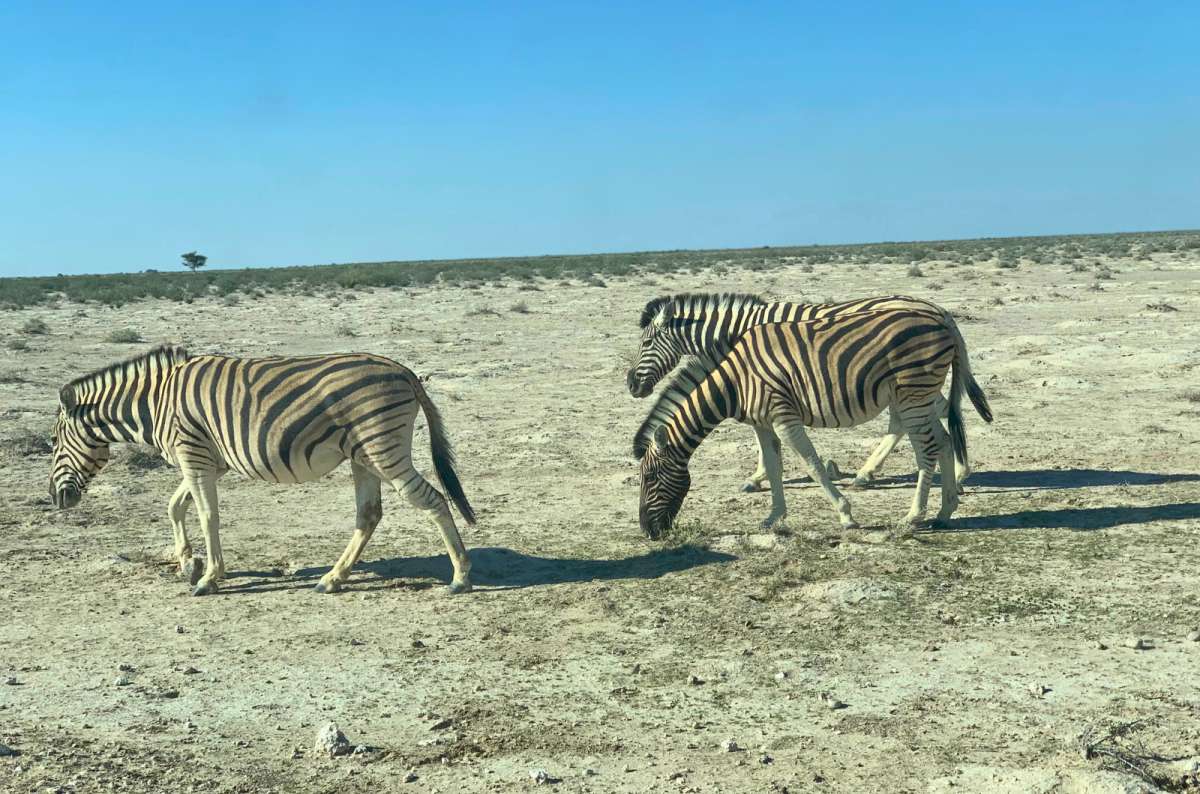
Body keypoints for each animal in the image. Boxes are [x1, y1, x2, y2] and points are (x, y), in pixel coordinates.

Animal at [49, 345, 476, 596]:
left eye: (52, 442)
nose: (55, 499)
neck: (155, 403)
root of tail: (404, 370)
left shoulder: (194, 454)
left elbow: (207, 515)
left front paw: (208, 577)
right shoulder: (209, 460)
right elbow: (176, 506)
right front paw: (188, 563)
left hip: (382, 448)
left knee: (432, 499)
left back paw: (460, 576)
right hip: (363, 456)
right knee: (369, 514)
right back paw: (332, 579)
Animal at [633, 308, 993, 537]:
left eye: (650, 477)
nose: (649, 532)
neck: (736, 381)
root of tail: (942, 320)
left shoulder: (783, 416)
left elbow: (812, 463)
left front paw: (846, 515)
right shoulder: (764, 423)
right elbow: (774, 466)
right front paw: (773, 517)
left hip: (912, 394)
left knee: (928, 449)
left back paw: (913, 516)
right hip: (917, 397)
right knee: (944, 440)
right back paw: (945, 511)